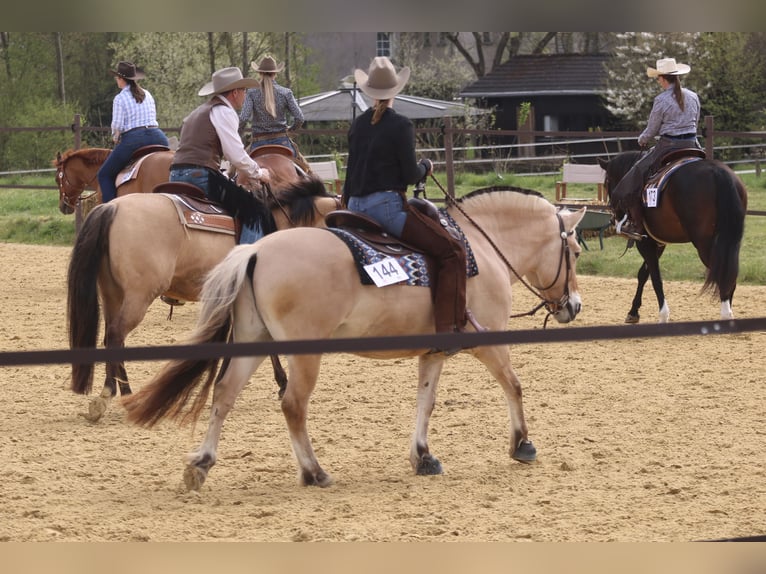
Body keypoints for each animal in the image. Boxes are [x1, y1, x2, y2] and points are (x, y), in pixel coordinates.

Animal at [67, 176, 341, 423]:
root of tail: (111, 208)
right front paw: (281, 383)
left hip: (112, 293)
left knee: (112, 336)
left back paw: (120, 394)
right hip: (138, 296)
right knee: (116, 335)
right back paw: (113, 396)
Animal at [122, 187, 586, 491]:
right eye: (577, 251)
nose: (575, 306)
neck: (479, 248)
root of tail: (255, 252)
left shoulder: (434, 352)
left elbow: (426, 401)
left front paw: (423, 456)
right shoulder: (489, 344)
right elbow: (514, 384)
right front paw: (522, 444)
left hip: (253, 343)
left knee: (223, 394)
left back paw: (201, 464)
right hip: (302, 355)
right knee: (293, 405)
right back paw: (314, 472)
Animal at [598, 151, 748, 323]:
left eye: (606, 182)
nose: (613, 216)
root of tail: (718, 172)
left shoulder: (645, 243)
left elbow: (655, 277)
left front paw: (663, 315)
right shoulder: (658, 244)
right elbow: (643, 274)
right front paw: (633, 312)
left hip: (705, 244)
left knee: (722, 273)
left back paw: (725, 313)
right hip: (729, 242)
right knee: (730, 274)